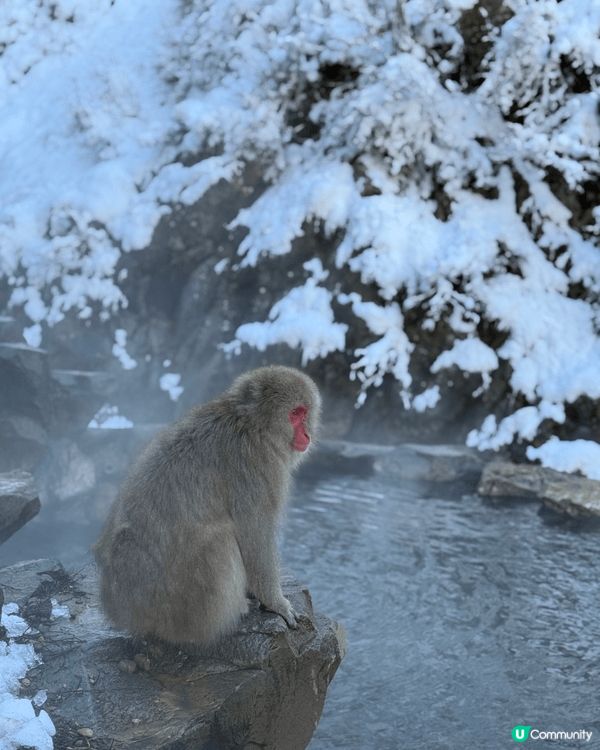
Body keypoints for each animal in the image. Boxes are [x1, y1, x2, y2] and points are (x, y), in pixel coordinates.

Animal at [93, 365, 321, 646]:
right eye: (295, 414)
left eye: (305, 412)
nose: (307, 434)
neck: (250, 425)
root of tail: (124, 614)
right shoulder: (256, 467)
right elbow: (254, 534)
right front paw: (276, 602)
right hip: (181, 607)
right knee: (220, 541)